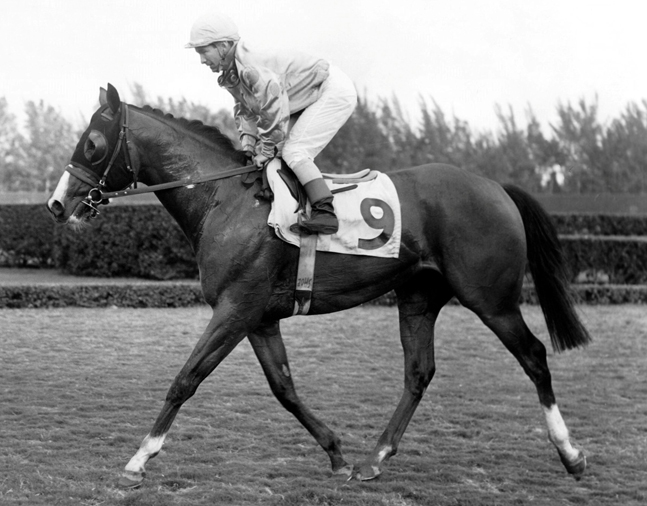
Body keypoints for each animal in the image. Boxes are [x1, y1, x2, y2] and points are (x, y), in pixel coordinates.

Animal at [45, 85, 592, 488]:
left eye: (91, 144)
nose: (57, 204)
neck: (228, 200)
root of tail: (496, 187)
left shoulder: (235, 309)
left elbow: (186, 378)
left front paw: (140, 458)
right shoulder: (259, 317)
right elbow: (284, 388)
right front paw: (336, 454)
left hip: (490, 298)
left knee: (534, 356)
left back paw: (570, 453)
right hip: (418, 297)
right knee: (419, 372)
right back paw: (376, 457)